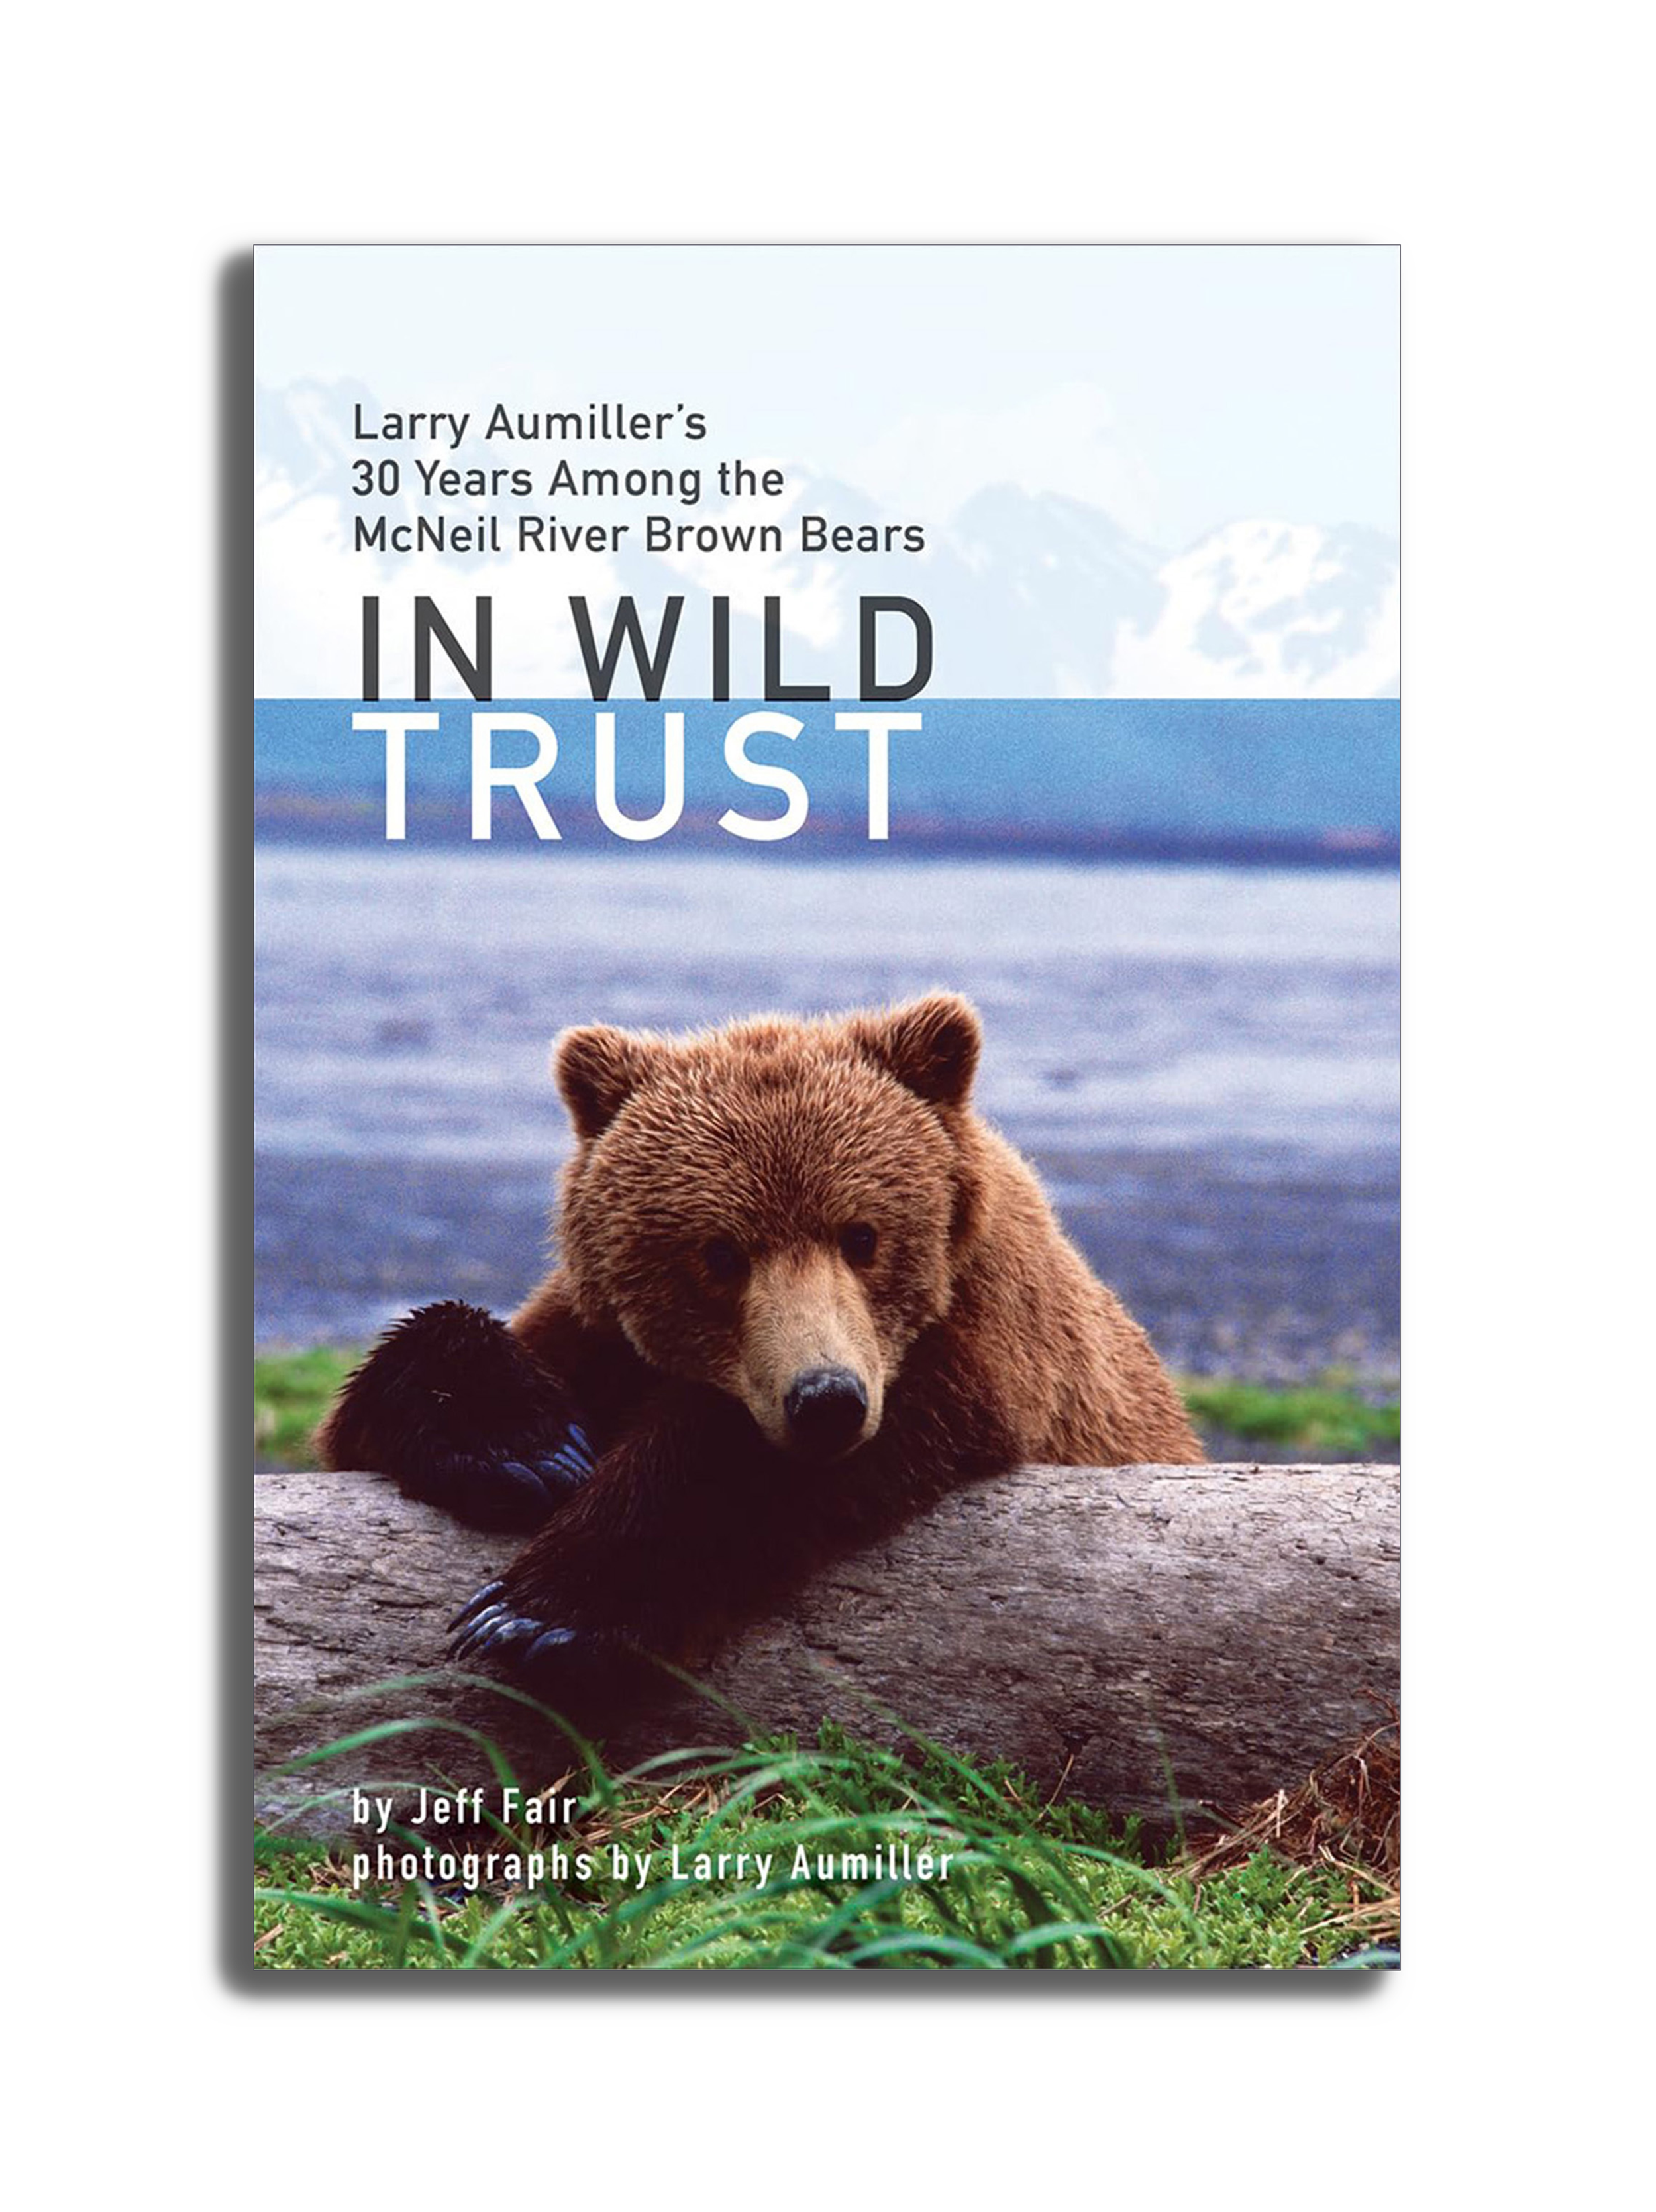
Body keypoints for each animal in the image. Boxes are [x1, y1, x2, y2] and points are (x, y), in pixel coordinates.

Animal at [316, 993, 1203, 1689]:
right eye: (718, 1252)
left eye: (862, 1234)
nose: (826, 1399)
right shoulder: (600, 1331)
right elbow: (398, 1390)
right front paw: (523, 1448)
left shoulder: (984, 1349)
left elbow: (730, 1457)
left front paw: (541, 1615)